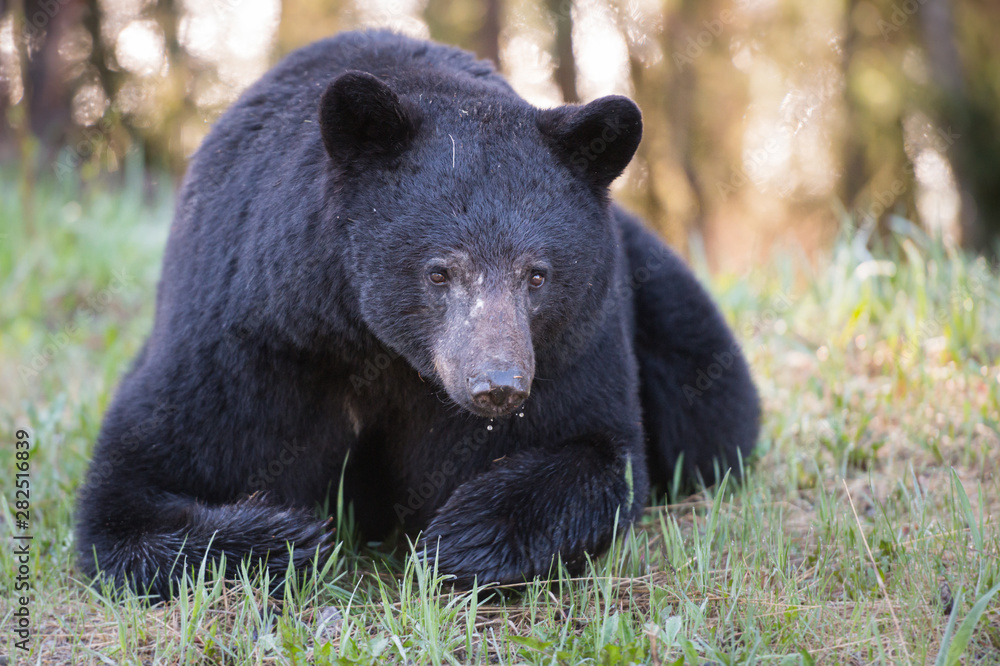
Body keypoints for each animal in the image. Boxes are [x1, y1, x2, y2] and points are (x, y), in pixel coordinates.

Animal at [75, 29, 760, 600]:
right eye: (439, 271)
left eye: (536, 274)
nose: (497, 386)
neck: (374, 346)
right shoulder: (250, 339)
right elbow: (131, 486)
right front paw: (289, 538)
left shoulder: (572, 340)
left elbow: (597, 449)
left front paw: (460, 538)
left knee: (712, 405)